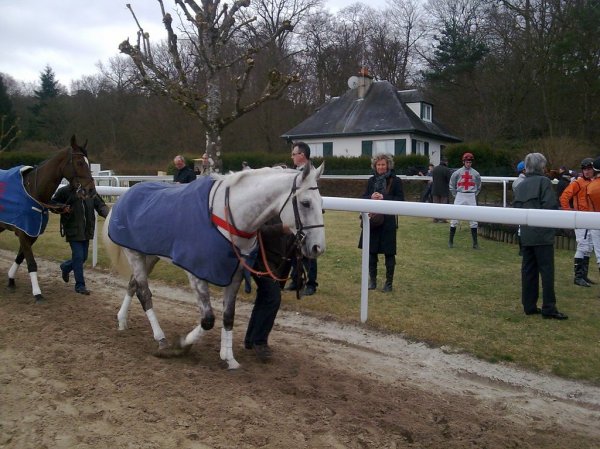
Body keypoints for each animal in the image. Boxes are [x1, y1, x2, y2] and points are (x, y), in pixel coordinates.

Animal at [0, 135, 96, 302]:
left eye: (89, 162)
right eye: (79, 162)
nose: (90, 190)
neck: (33, 192)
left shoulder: (33, 233)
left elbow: (20, 257)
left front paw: (11, 280)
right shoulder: (24, 232)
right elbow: (31, 263)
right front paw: (37, 293)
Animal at [104, 164, 328, 368]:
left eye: (322, 204)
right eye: (306, 203)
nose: (317, 247)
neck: (228, 216)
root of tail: (126, 195)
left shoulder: (235, 276)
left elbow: (228, 316)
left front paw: (229, 358)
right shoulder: (196, 274)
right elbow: (208, 319)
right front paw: (180, 345)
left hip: (149, 255)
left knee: (132, 284)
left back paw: (122, 320)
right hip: (134, 254)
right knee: (144, 293)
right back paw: (161, 339)